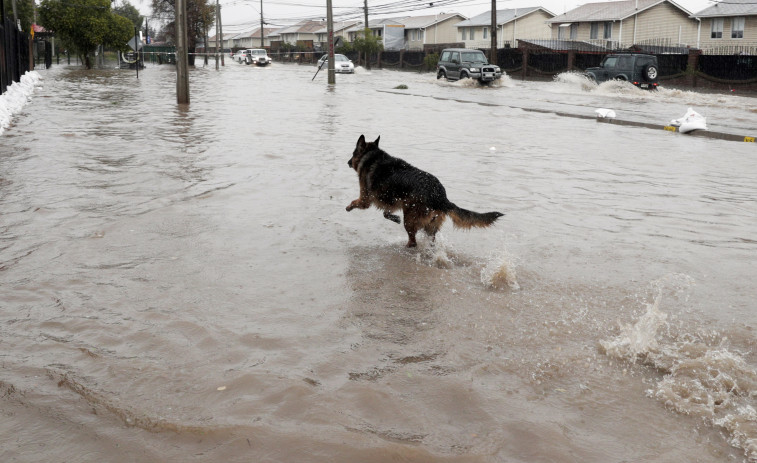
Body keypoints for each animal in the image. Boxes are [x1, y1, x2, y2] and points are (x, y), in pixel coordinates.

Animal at [346, 136, 502, 248]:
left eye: (353, 153)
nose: (348, 162)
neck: (372, 156)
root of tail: (440, 196)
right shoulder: (394, 201)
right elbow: (386, 213)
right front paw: (394, 218)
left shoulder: (365, 199)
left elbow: (355, 202)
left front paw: (348, 207)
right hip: (429, 224)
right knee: (430, 241)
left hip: (410, 218)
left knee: (413, 241)